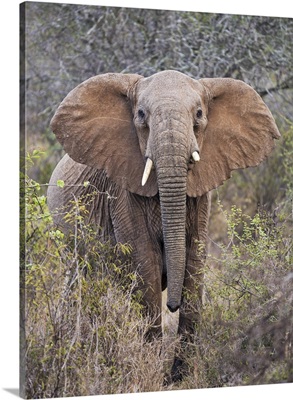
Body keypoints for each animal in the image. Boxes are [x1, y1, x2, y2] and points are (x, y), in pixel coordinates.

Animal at [46, 69, 280, 382]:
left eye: (199, 114)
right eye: (141, 115)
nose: (172, 304)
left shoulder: (200, 196)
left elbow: (195, 262)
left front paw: (181, 376)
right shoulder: (123, 193)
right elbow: (146, 264)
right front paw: (155, 372)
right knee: (80, 285)